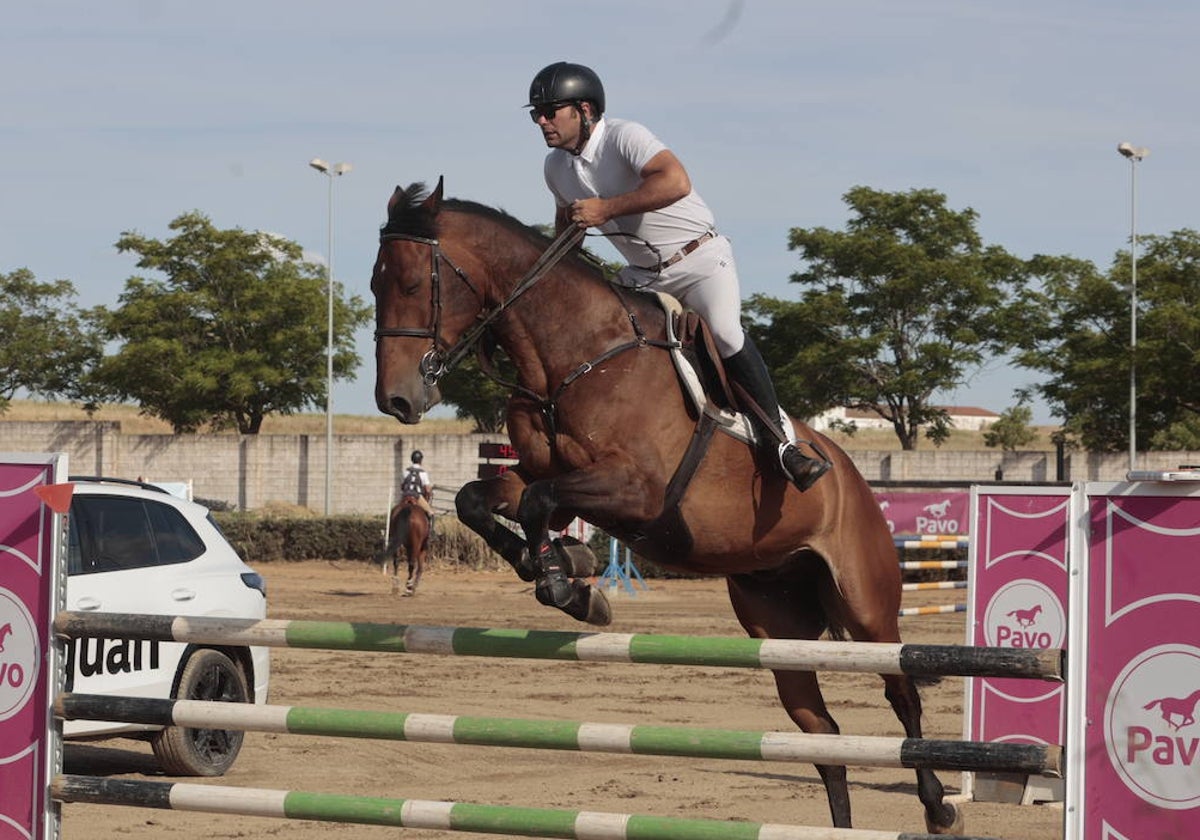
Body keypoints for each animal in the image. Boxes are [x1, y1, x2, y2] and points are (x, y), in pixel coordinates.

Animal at [369, 178, 960, 835]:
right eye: (373, 285)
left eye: (413, 285)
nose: (396, 399)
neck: (573, 356)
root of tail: (852, 477)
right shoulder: (542, 474)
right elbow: (485, 500)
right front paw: (561, 570)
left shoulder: (638, 490)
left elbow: (541, 504)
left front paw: (565, 579)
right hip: (775, 623)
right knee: (824, 738)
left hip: (865, 606)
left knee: (900, 692)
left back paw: (938, 806)